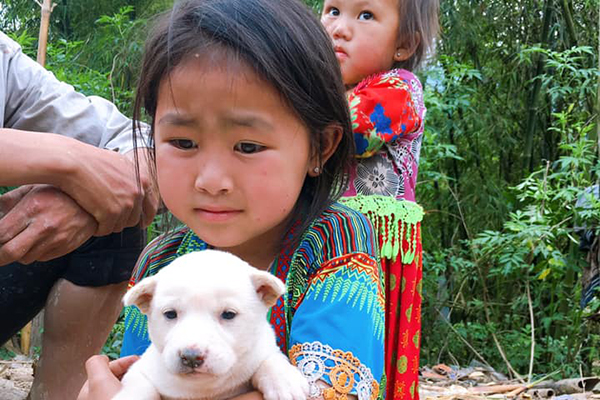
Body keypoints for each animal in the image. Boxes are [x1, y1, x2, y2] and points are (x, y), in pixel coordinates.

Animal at [113, 250, 310, 400]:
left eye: (228, 314)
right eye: (170, 314)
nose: (191, 357)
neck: (204, 388)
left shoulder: (261, 350)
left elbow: (269, 360)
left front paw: (285, 382)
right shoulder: (141, 370)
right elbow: (139, 387)